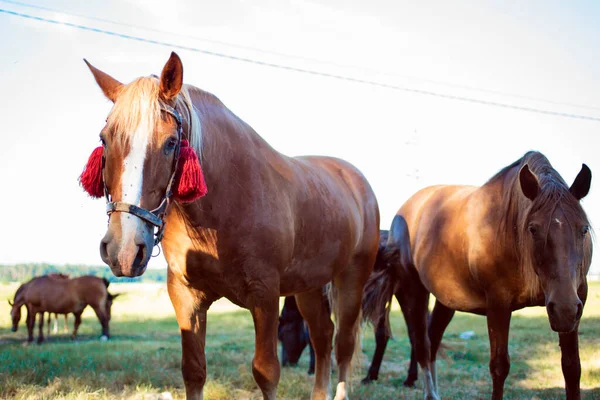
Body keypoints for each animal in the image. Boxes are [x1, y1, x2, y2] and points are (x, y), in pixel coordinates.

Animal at [81, 52, 378, 400]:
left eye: (170, 142)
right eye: (105, 139)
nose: (124, 251)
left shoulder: (264, 294)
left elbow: (266, 372)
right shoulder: (186, 295)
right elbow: (193, 370)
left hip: (351, 279)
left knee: (343, 343)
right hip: (308, 285)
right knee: (322, 336)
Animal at [392, 151, 592, 400]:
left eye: (583, 229)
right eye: (533, 229)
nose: (564, 310)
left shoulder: (577, 301)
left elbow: (572, 367)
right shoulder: (498, 305)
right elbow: (499, 367)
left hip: (446, 300)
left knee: (433, 338)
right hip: (414, 290)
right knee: (422, 343)